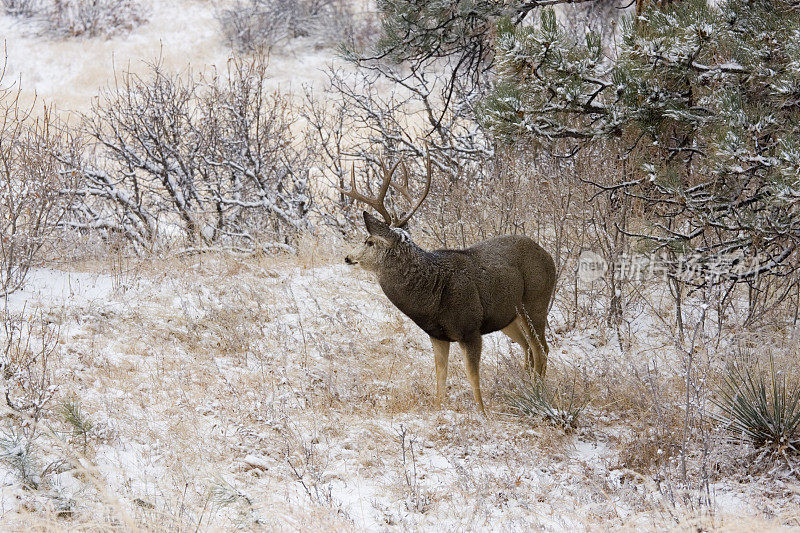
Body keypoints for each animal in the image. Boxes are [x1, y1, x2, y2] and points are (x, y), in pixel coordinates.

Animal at [340, 152, 556, 414]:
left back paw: (538, 394)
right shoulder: (437, 335)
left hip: (536, 300)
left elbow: (473, 377)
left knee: (541, 349)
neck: (433, 293)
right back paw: (524, 388)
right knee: (528, 348)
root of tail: (547, 254)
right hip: (507, 315)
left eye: (369, 241)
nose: (348, 257)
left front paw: (483, 414)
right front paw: (439, 410)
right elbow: (440, 378)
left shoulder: (469, 329)